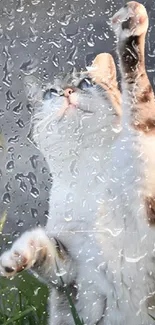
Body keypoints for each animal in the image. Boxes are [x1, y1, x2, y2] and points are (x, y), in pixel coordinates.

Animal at [0, 2, 155, 324]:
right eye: (51, 92)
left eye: (85, 82)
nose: (68, 92)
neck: (88, 171)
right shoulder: (72, 272)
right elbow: (46, 249)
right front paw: (16, 257)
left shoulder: (147, 200)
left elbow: (139, 98)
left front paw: (130, 29)